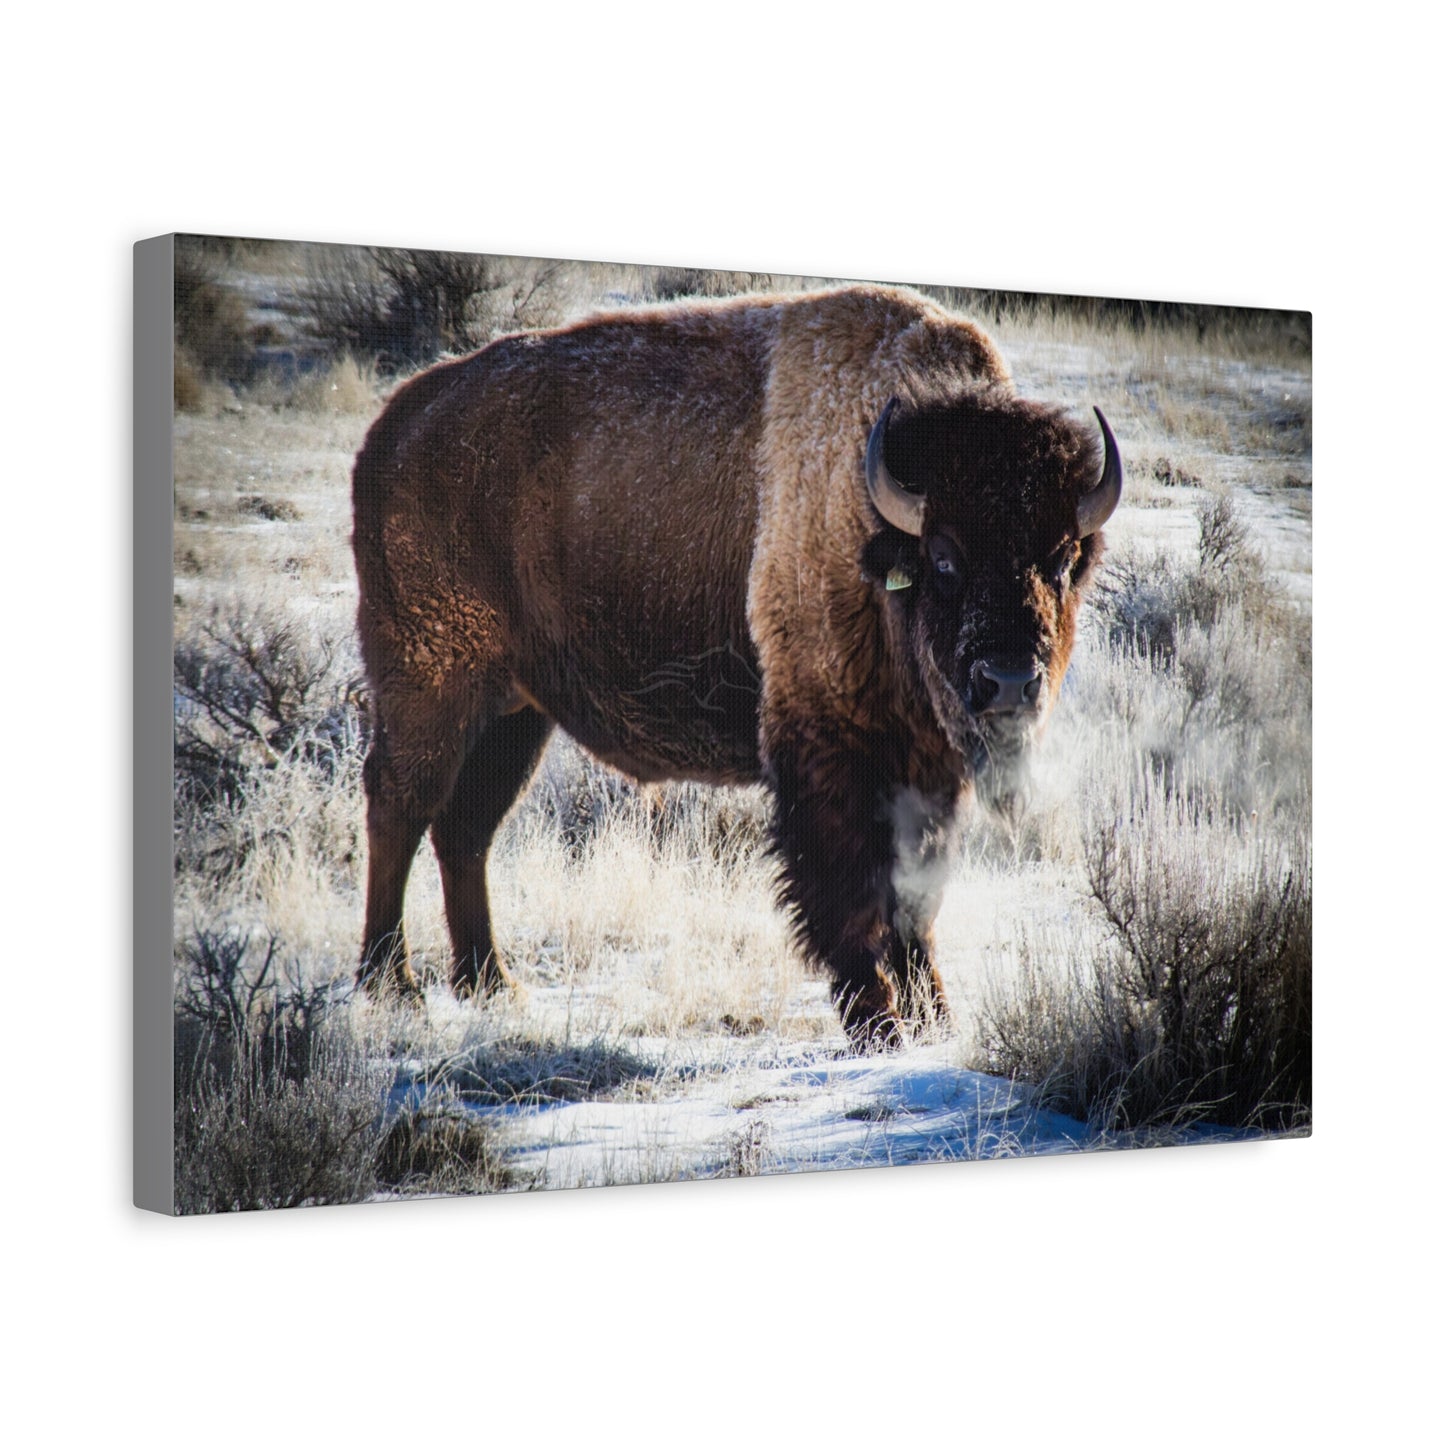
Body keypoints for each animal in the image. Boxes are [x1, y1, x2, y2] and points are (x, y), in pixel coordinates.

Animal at [351, 284, 1121, 1048]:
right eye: (943, 558)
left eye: (1060, 560)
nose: (1008, 682)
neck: (874, 522)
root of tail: (393, 426)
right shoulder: (829, 750)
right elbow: (851, 890)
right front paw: (878, 1024)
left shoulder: (927, 767)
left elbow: (916, 897)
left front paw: (935, 1018)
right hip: (430, 685)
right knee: (400, 806)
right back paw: (392, 984)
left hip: (515, 712)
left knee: (466, 829)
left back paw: (489, 982)